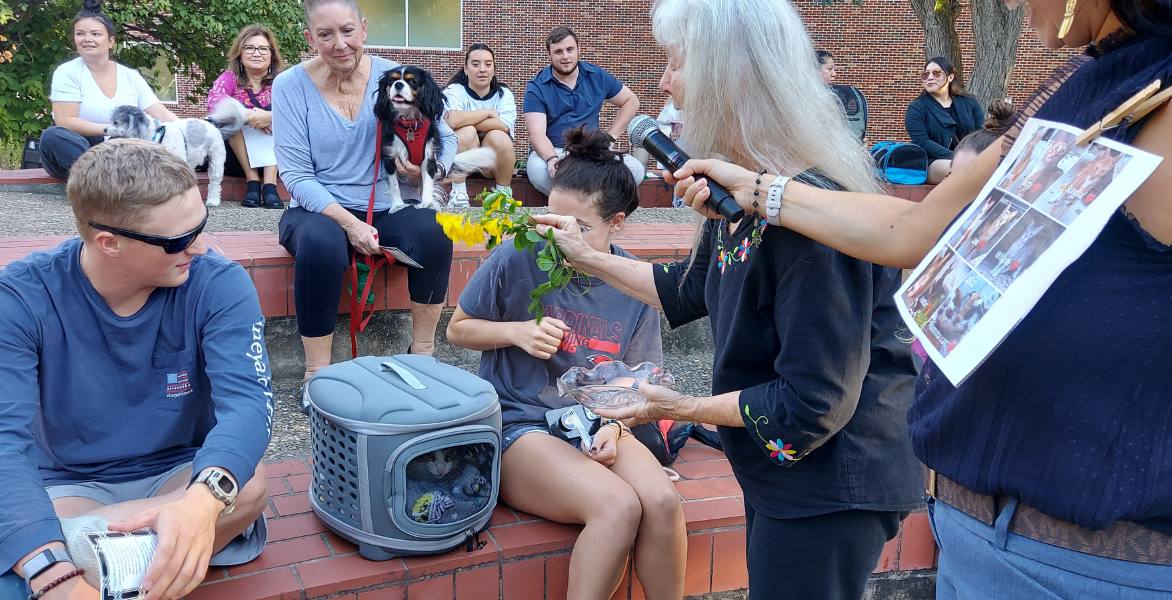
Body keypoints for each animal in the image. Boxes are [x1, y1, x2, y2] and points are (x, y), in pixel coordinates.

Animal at [108, 99, 248, 207]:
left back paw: (213, 201)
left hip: (216, 161)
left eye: (116, 122)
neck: (156, 135)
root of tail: (215, 128)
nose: (105, 129)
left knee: (215, 182)